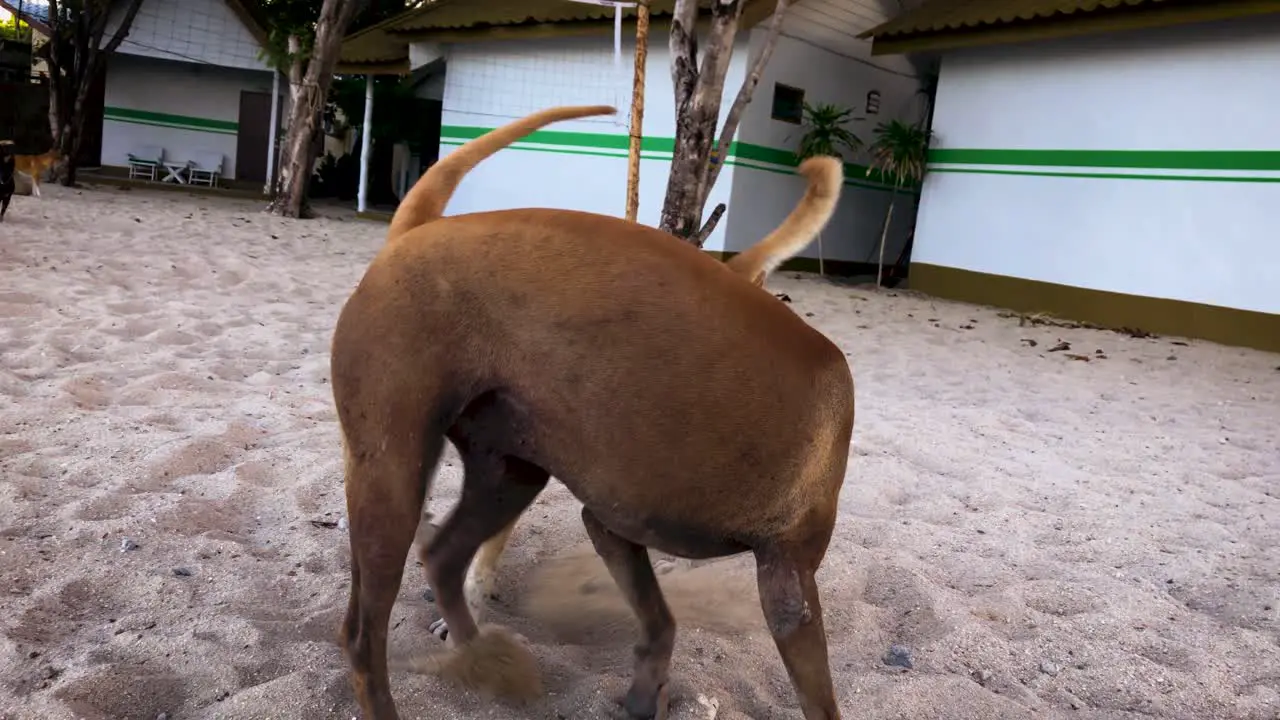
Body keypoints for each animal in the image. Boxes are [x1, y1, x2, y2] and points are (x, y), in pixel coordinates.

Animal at [330, 102, 855, 717]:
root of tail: (414, 233)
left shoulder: (612, 528)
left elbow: (661, 624)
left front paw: (644, 694)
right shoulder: (785, 585)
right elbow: (817, 700)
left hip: (508, 475)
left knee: (441, 557)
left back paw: (487, 659)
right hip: (395, 476)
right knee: (365, 634)